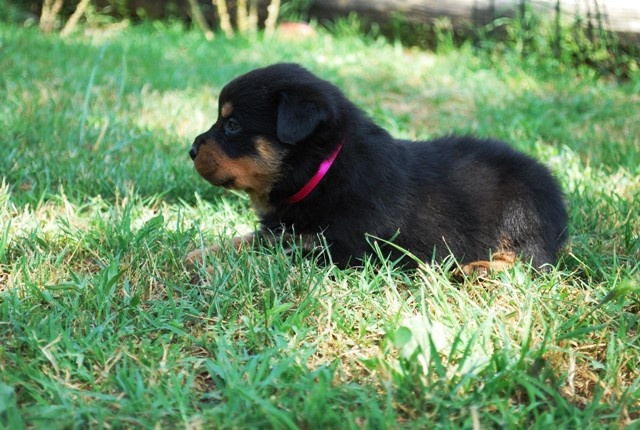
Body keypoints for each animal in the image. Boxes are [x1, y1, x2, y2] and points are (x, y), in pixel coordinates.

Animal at [187, 63, 567, 273]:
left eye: (232, 125)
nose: (190, 150)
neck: (325, 170)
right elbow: (254, 238)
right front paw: (199, 252)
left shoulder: (350, 248)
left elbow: (275, 248)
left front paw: (202, 258)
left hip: (521, 212)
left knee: (534, 261)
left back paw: (480, 269)